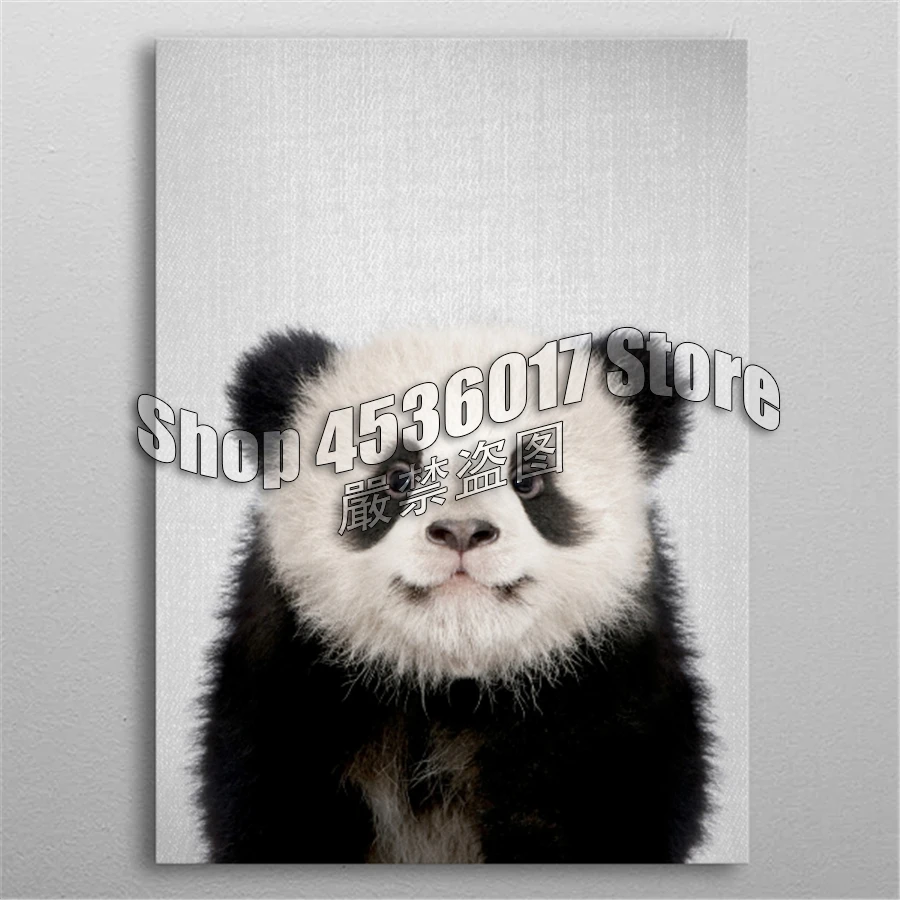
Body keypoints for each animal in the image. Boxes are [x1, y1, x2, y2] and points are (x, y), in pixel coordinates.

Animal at [197, 326, 713, 864]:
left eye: (528, 479)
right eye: (398, 476)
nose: (463, 531)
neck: (450, 687)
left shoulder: (606, 696)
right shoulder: (293, 693)